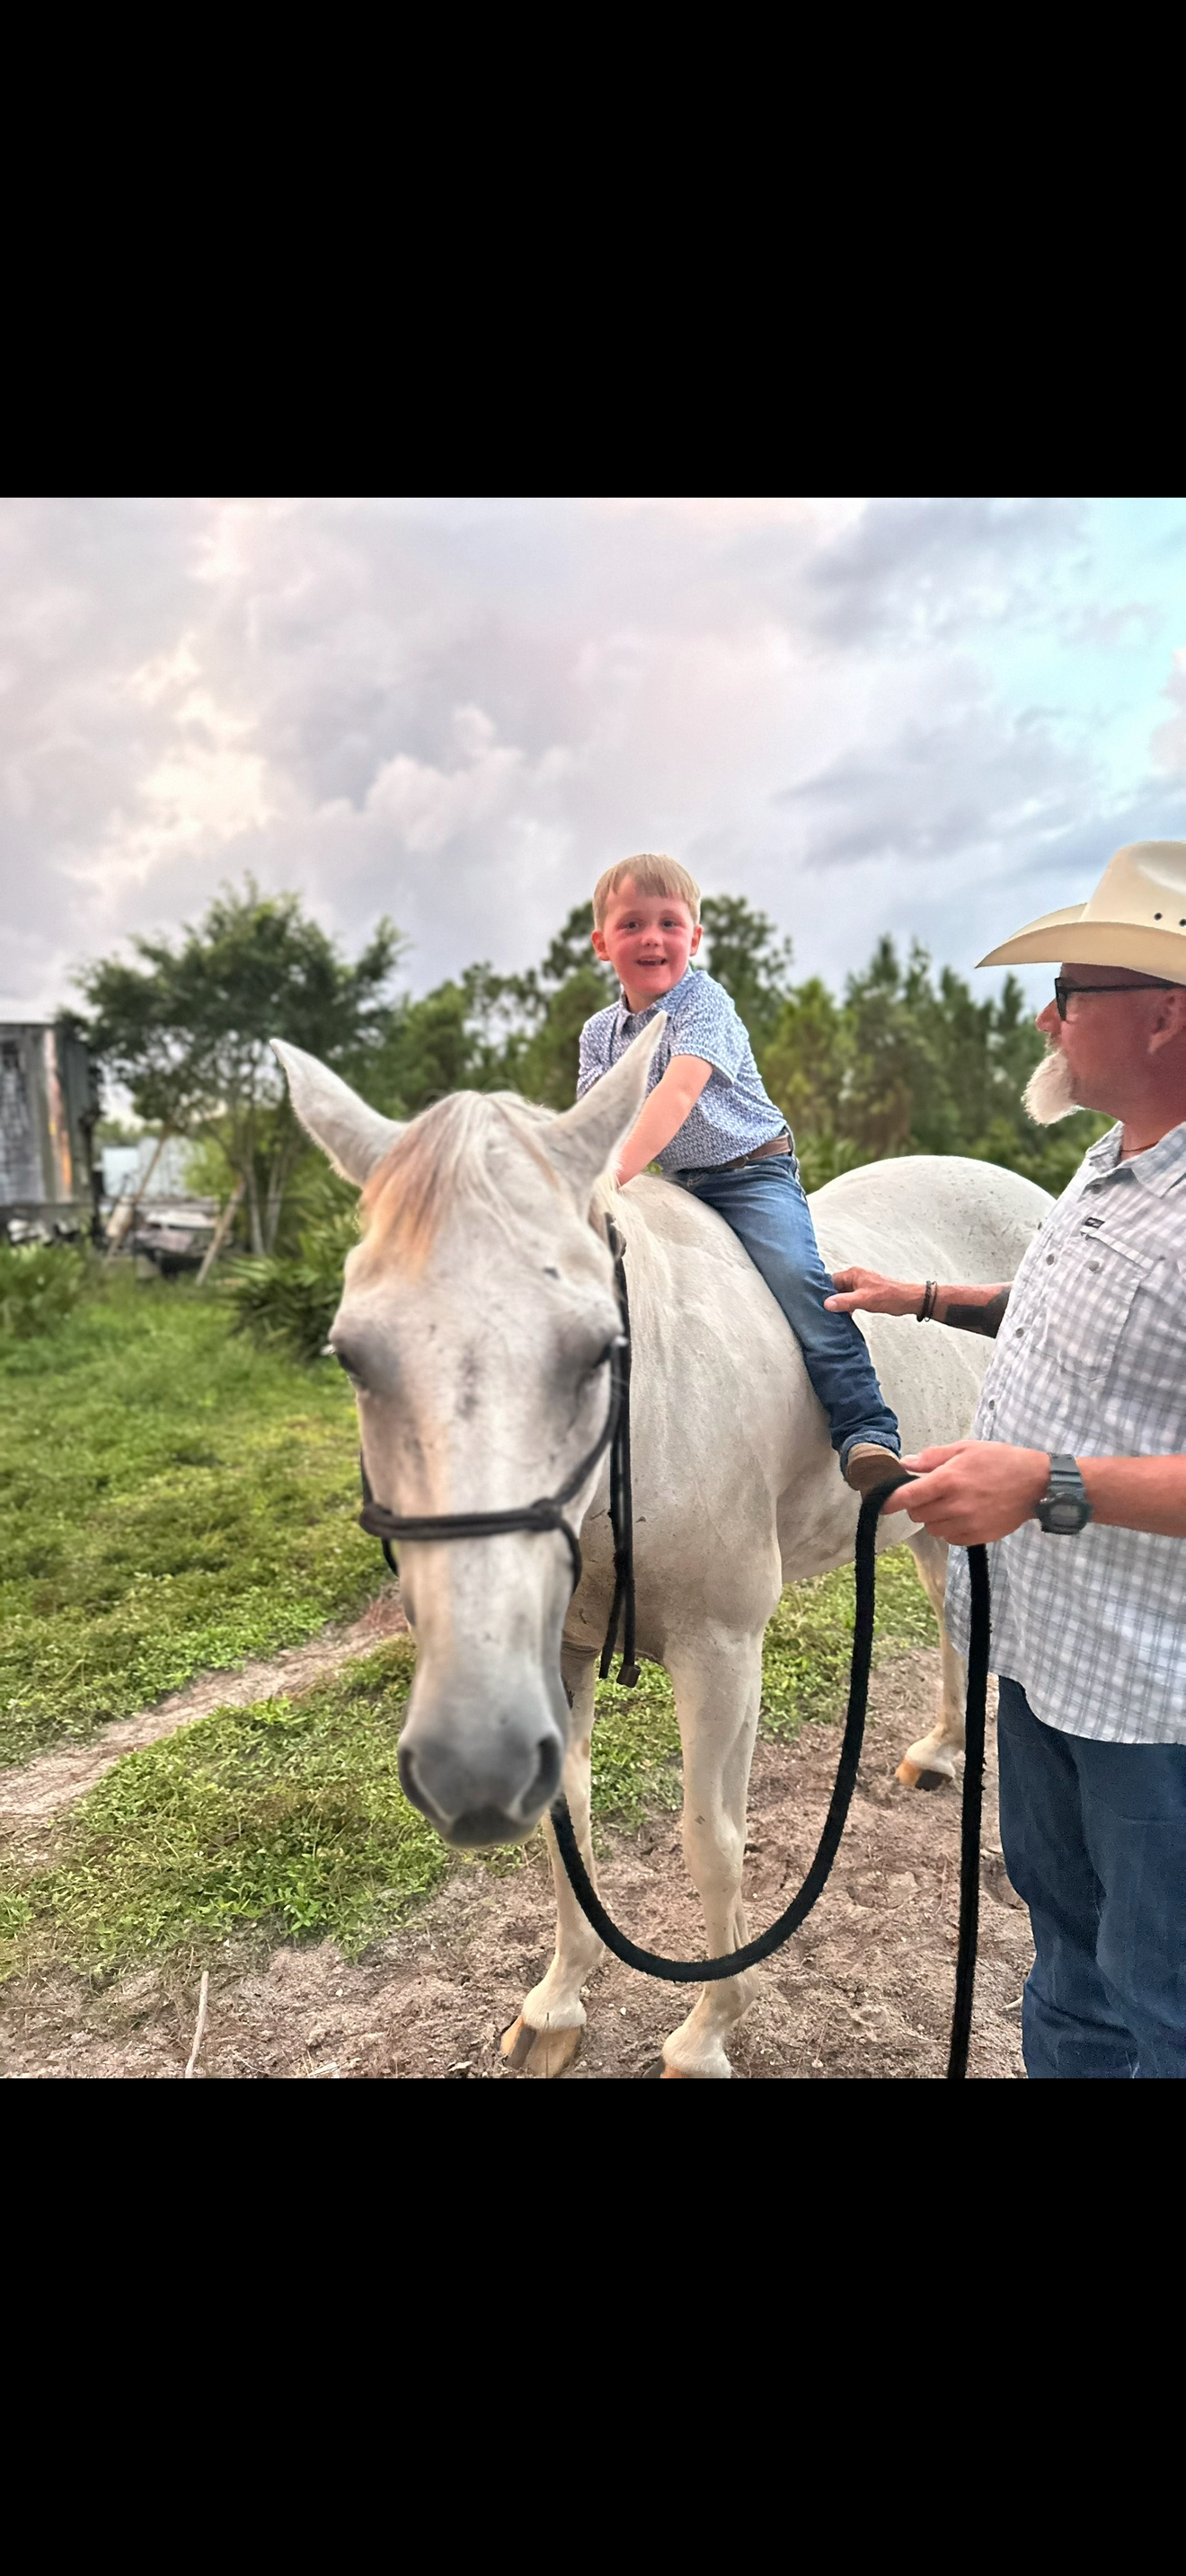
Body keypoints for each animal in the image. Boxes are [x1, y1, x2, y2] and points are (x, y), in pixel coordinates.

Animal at [275, 1027, 1049, 2078]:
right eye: (353, 1355)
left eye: (598, 1348)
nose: (468, 1761)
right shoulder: (556, 1656)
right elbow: (567, 1819)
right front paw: (559, 2001)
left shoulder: (722, 1652)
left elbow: (712, 1838)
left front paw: (708, 2028)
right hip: (931, 1512)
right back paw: (940, 1751)